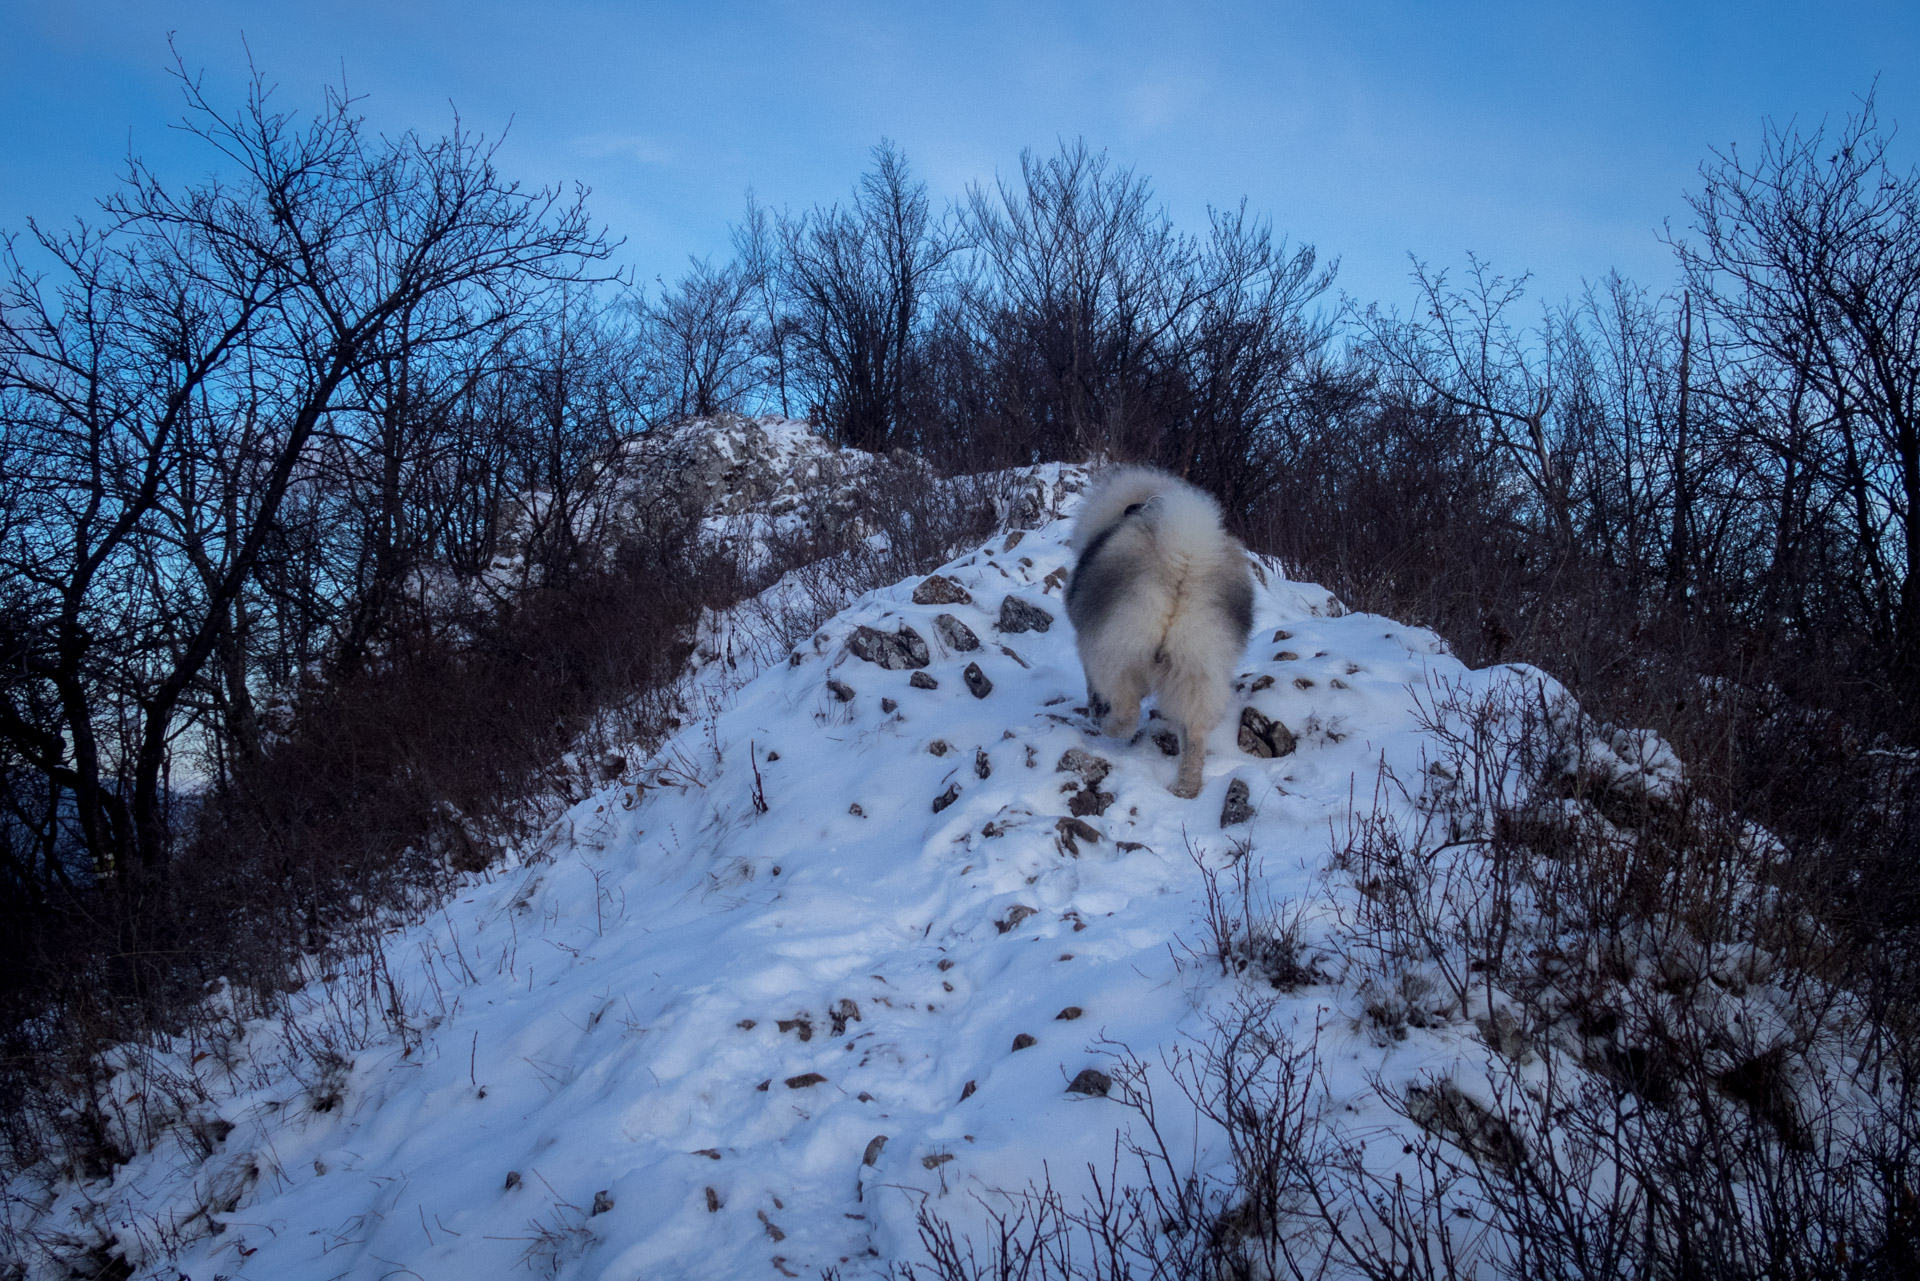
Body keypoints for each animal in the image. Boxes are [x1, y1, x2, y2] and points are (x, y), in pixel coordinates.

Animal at [1059, 466, 1251, 795]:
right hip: (1200, 668)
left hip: (1116, 651)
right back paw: (1185, 789)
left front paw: (1096, 713)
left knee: (1127, 714)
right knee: (1194, 737)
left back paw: (1107, 727)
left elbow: (1093, 690)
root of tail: (1185, 560)